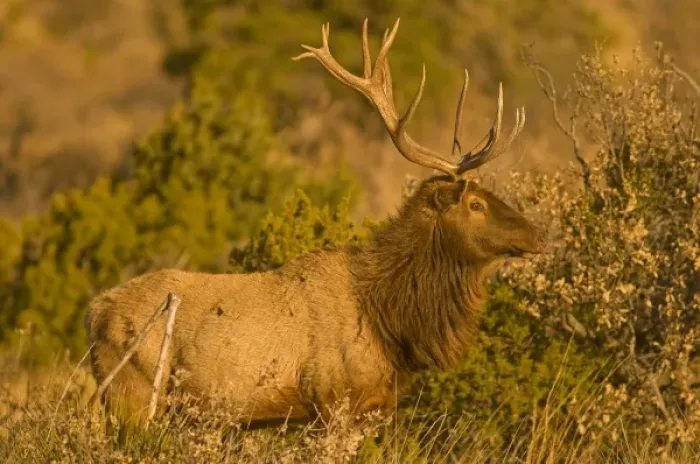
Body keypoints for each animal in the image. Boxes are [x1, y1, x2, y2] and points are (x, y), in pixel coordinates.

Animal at [85, 18, 548, 431]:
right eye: (475, 204)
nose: (539, 234)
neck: (390, 322)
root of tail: (93, 313)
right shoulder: (334, 401)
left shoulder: (372, 407)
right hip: (132, 394)